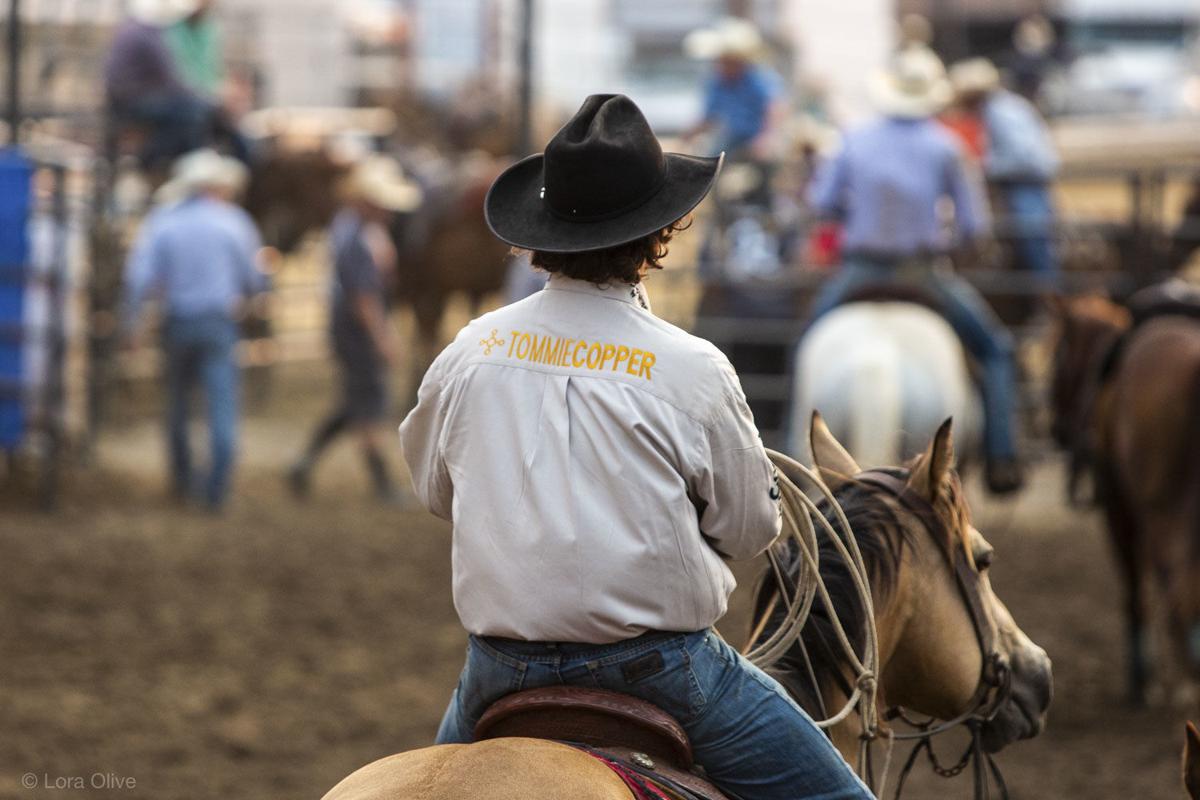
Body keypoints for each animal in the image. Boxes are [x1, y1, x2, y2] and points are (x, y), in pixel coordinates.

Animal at [1046, 292, 1200, 700]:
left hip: (1155, 512)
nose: (1058, 430)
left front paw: (1143, 676)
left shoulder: (1120, 510)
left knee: (1174, 588)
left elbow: (1135, 588)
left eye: (1057, 353)